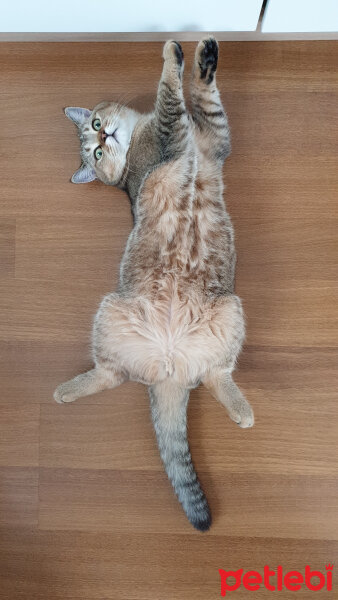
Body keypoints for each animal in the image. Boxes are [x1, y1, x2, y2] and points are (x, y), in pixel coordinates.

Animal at [54, 37, 254, 532]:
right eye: (94, 153)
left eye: (96, 125)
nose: (103, 138)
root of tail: (170, 367)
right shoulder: (172, 136)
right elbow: (171, 95)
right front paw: (173, 54)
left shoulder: (214, 136)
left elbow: (203, 95)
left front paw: (204, 57)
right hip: (111, 311)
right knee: (110, 375)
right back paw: (66, 391)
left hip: (230, 313)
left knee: (215, 376)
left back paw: (239, 408)